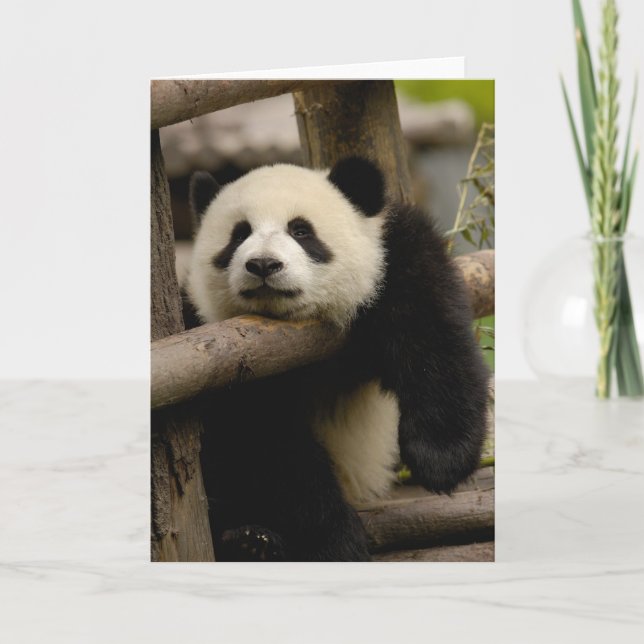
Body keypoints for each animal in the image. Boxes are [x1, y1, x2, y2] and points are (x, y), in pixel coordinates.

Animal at [183, 156, 489, 561]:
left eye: (300, 230)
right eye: (239, 234)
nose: (263, 264)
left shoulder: (394, 258)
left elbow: (433, 335)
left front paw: (440, 460)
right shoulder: (234, 355)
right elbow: (269, 443)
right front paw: (338, 539)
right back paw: (250, 540)